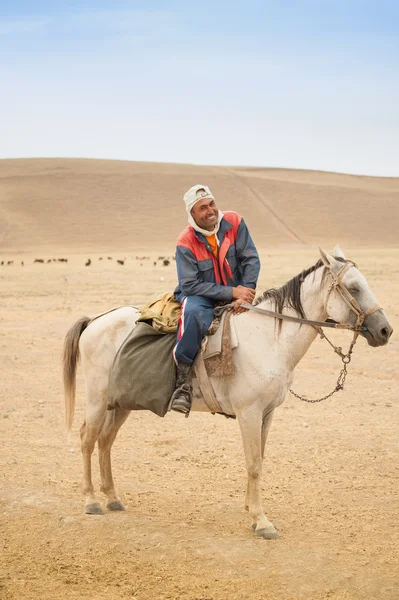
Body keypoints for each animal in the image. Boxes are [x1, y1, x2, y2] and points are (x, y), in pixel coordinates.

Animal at [63, 247, 394, 540]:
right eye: (354, 287)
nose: (385, 331)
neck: (269, 339)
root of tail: (96, 319)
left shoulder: (267, 414)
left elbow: (259, 458)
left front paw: (251, 510)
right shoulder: (249, 412)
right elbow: (254, 463)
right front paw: (262, 521)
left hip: (120, 403)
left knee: (105, 441)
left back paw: (112, 497)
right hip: (98, 399)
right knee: (87, 438)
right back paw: (92, 501)